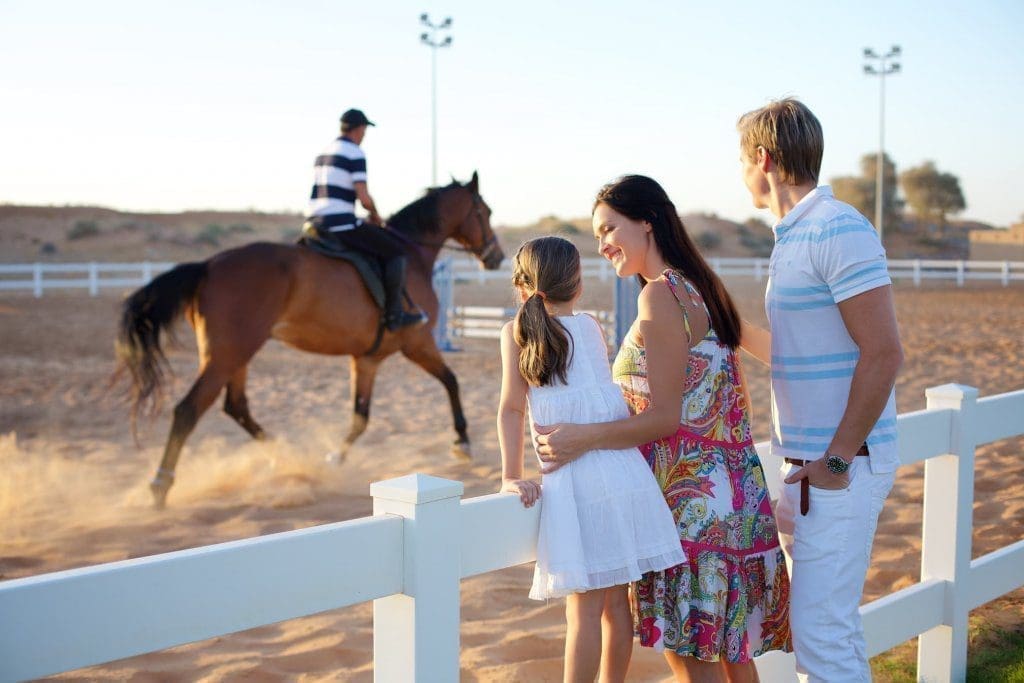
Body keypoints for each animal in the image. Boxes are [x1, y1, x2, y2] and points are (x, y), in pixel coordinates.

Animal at [116, 172, 503, 508]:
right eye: (484, 212)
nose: (496, 257)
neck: (412, 253)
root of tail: (209, 265)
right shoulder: (417, 343)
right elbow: (451, 381)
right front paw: (462, 441)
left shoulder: (367, 359)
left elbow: (360, 418)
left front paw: (333, 459)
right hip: (228, 354)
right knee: (189, 409)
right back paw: (161, 484)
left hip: (235, 355)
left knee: (236, 406)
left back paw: (284, 459)